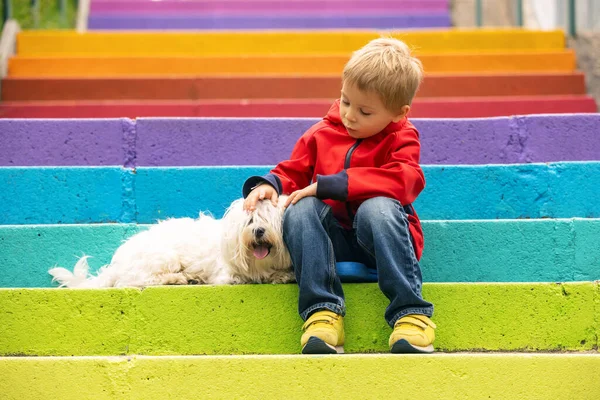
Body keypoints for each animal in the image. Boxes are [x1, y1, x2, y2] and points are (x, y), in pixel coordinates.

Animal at [49, 197, 296, 288]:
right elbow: (253, 276)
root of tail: (116, 265)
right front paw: (277, 275)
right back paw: (178, 278)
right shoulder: (228, 275)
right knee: (136, 280)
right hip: (164, 257)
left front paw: (284, 274)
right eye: (250, 221)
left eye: (268, 220)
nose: (258, 231)